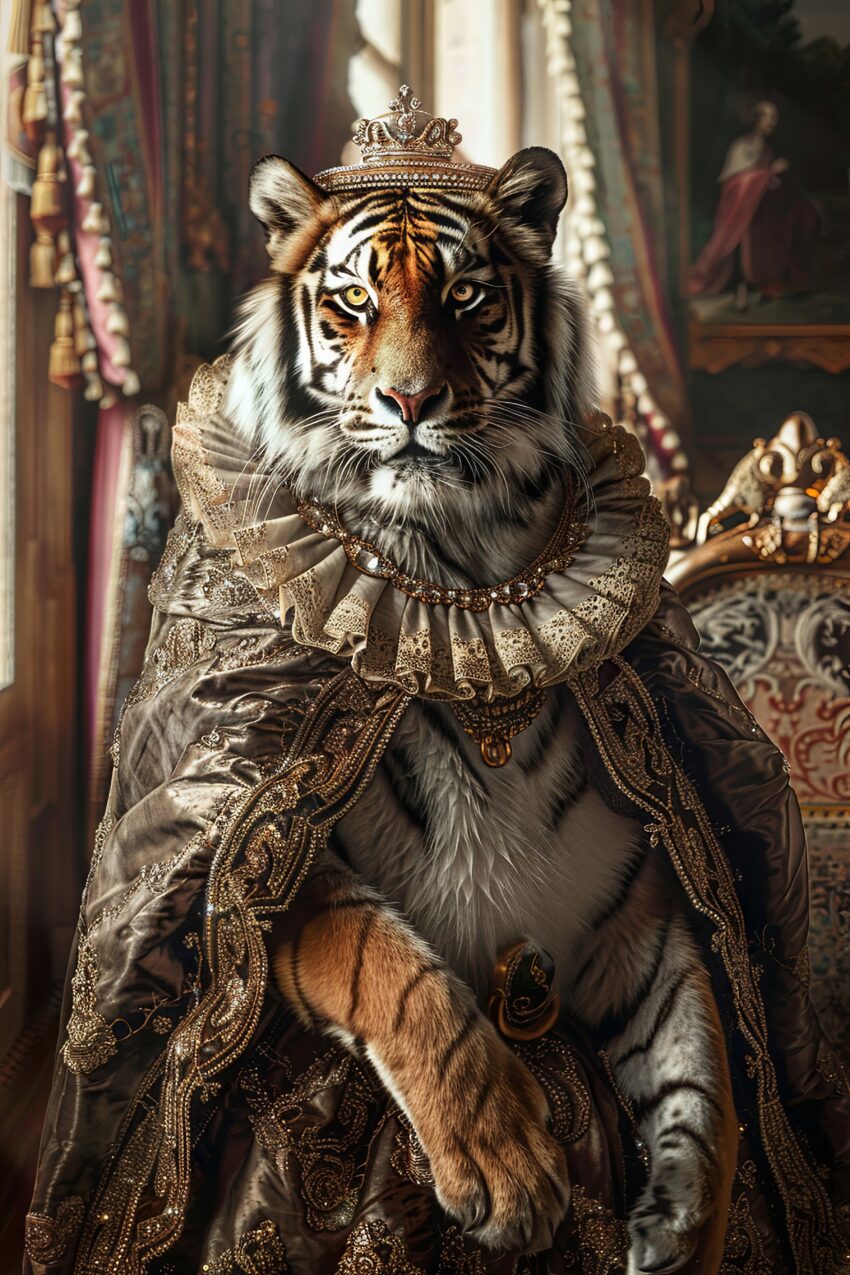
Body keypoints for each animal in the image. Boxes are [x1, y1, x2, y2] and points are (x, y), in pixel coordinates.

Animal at [223, 145, 738, 1273]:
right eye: (353, 302)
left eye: (466, 297)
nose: (411, 399)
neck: (459, 574)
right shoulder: (282, 863)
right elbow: (391, 969)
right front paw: (507, 1169)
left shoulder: (637, 924)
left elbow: (701, 1072)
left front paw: (684, 1225)